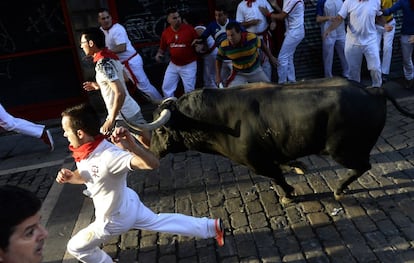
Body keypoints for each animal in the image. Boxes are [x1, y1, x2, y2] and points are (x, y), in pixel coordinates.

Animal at [125, 77, 414, 205]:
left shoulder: (256, 162)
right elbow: (284, 166)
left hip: (342, 150)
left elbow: (276, 176)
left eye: (160, 131)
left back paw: (340, 189)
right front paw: (299, 167)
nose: (153, 152)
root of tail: (374, 89)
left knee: (363, 166)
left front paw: (288, 194)